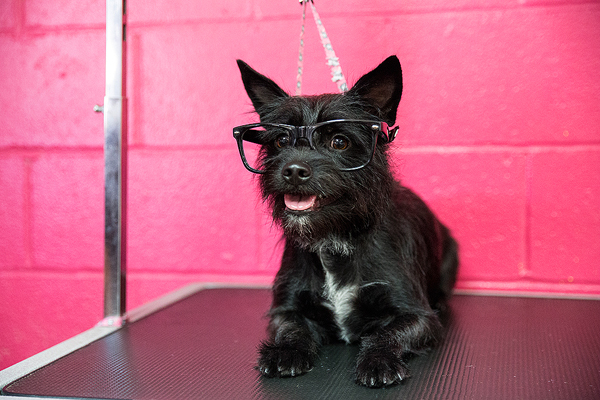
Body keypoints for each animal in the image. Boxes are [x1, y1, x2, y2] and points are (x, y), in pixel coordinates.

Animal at [233, 55, 458, 388]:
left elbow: (387, 333)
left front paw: (378, 360)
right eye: (282, 140)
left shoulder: (418, 316)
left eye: (339, 142)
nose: (293, 170)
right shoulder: (284, 309)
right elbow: (292, 328)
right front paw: (285, 351)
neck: (335, 236)